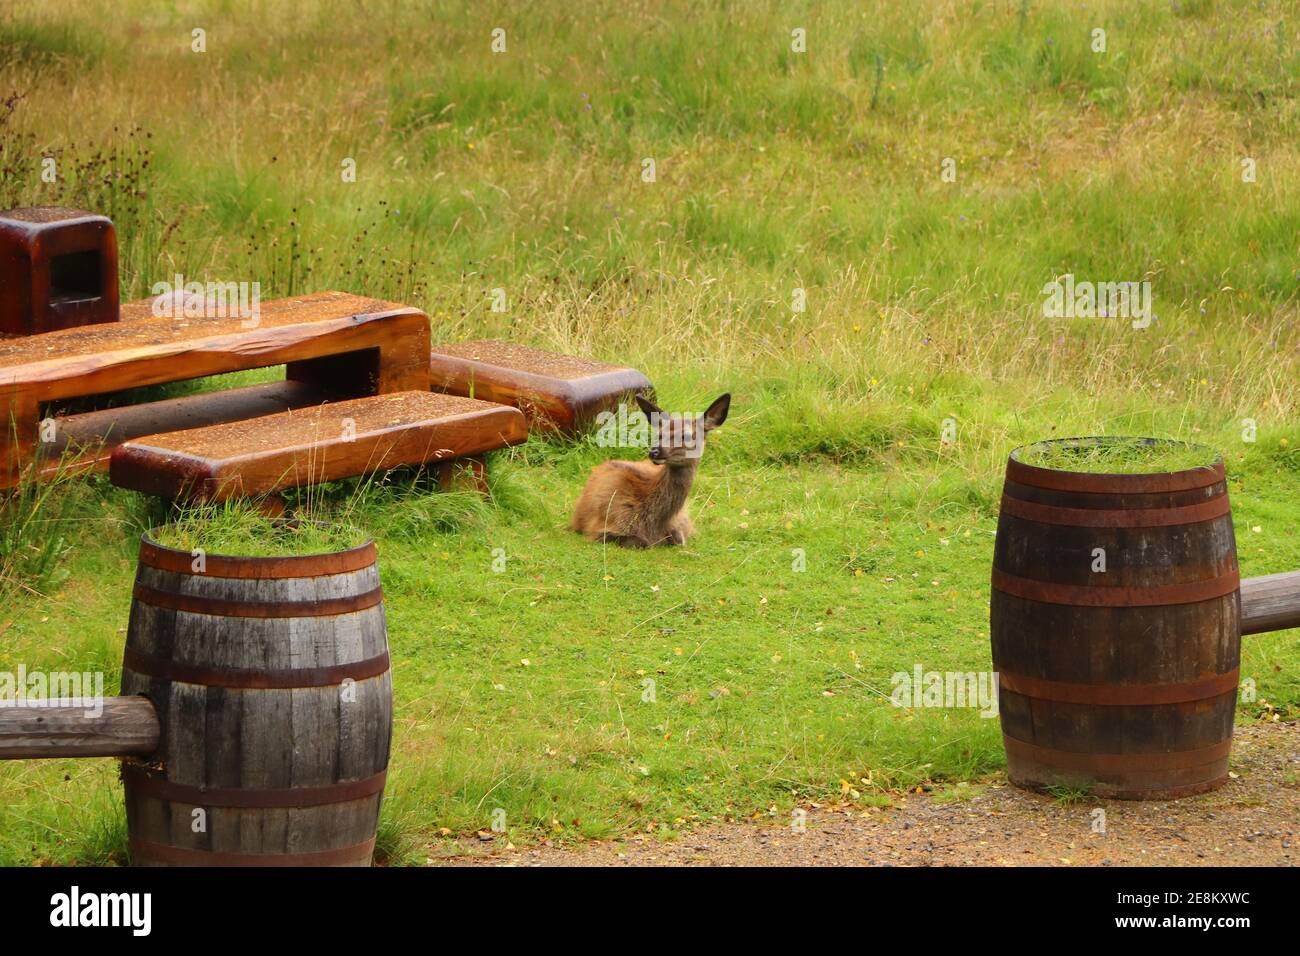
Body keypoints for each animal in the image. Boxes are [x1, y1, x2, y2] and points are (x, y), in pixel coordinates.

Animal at [572, 393, 731, 548]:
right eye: (659, 434)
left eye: (687, 436)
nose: (654, 451)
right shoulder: (601, 526)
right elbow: (640, 542)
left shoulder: (683, 525)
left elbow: (679, 540)